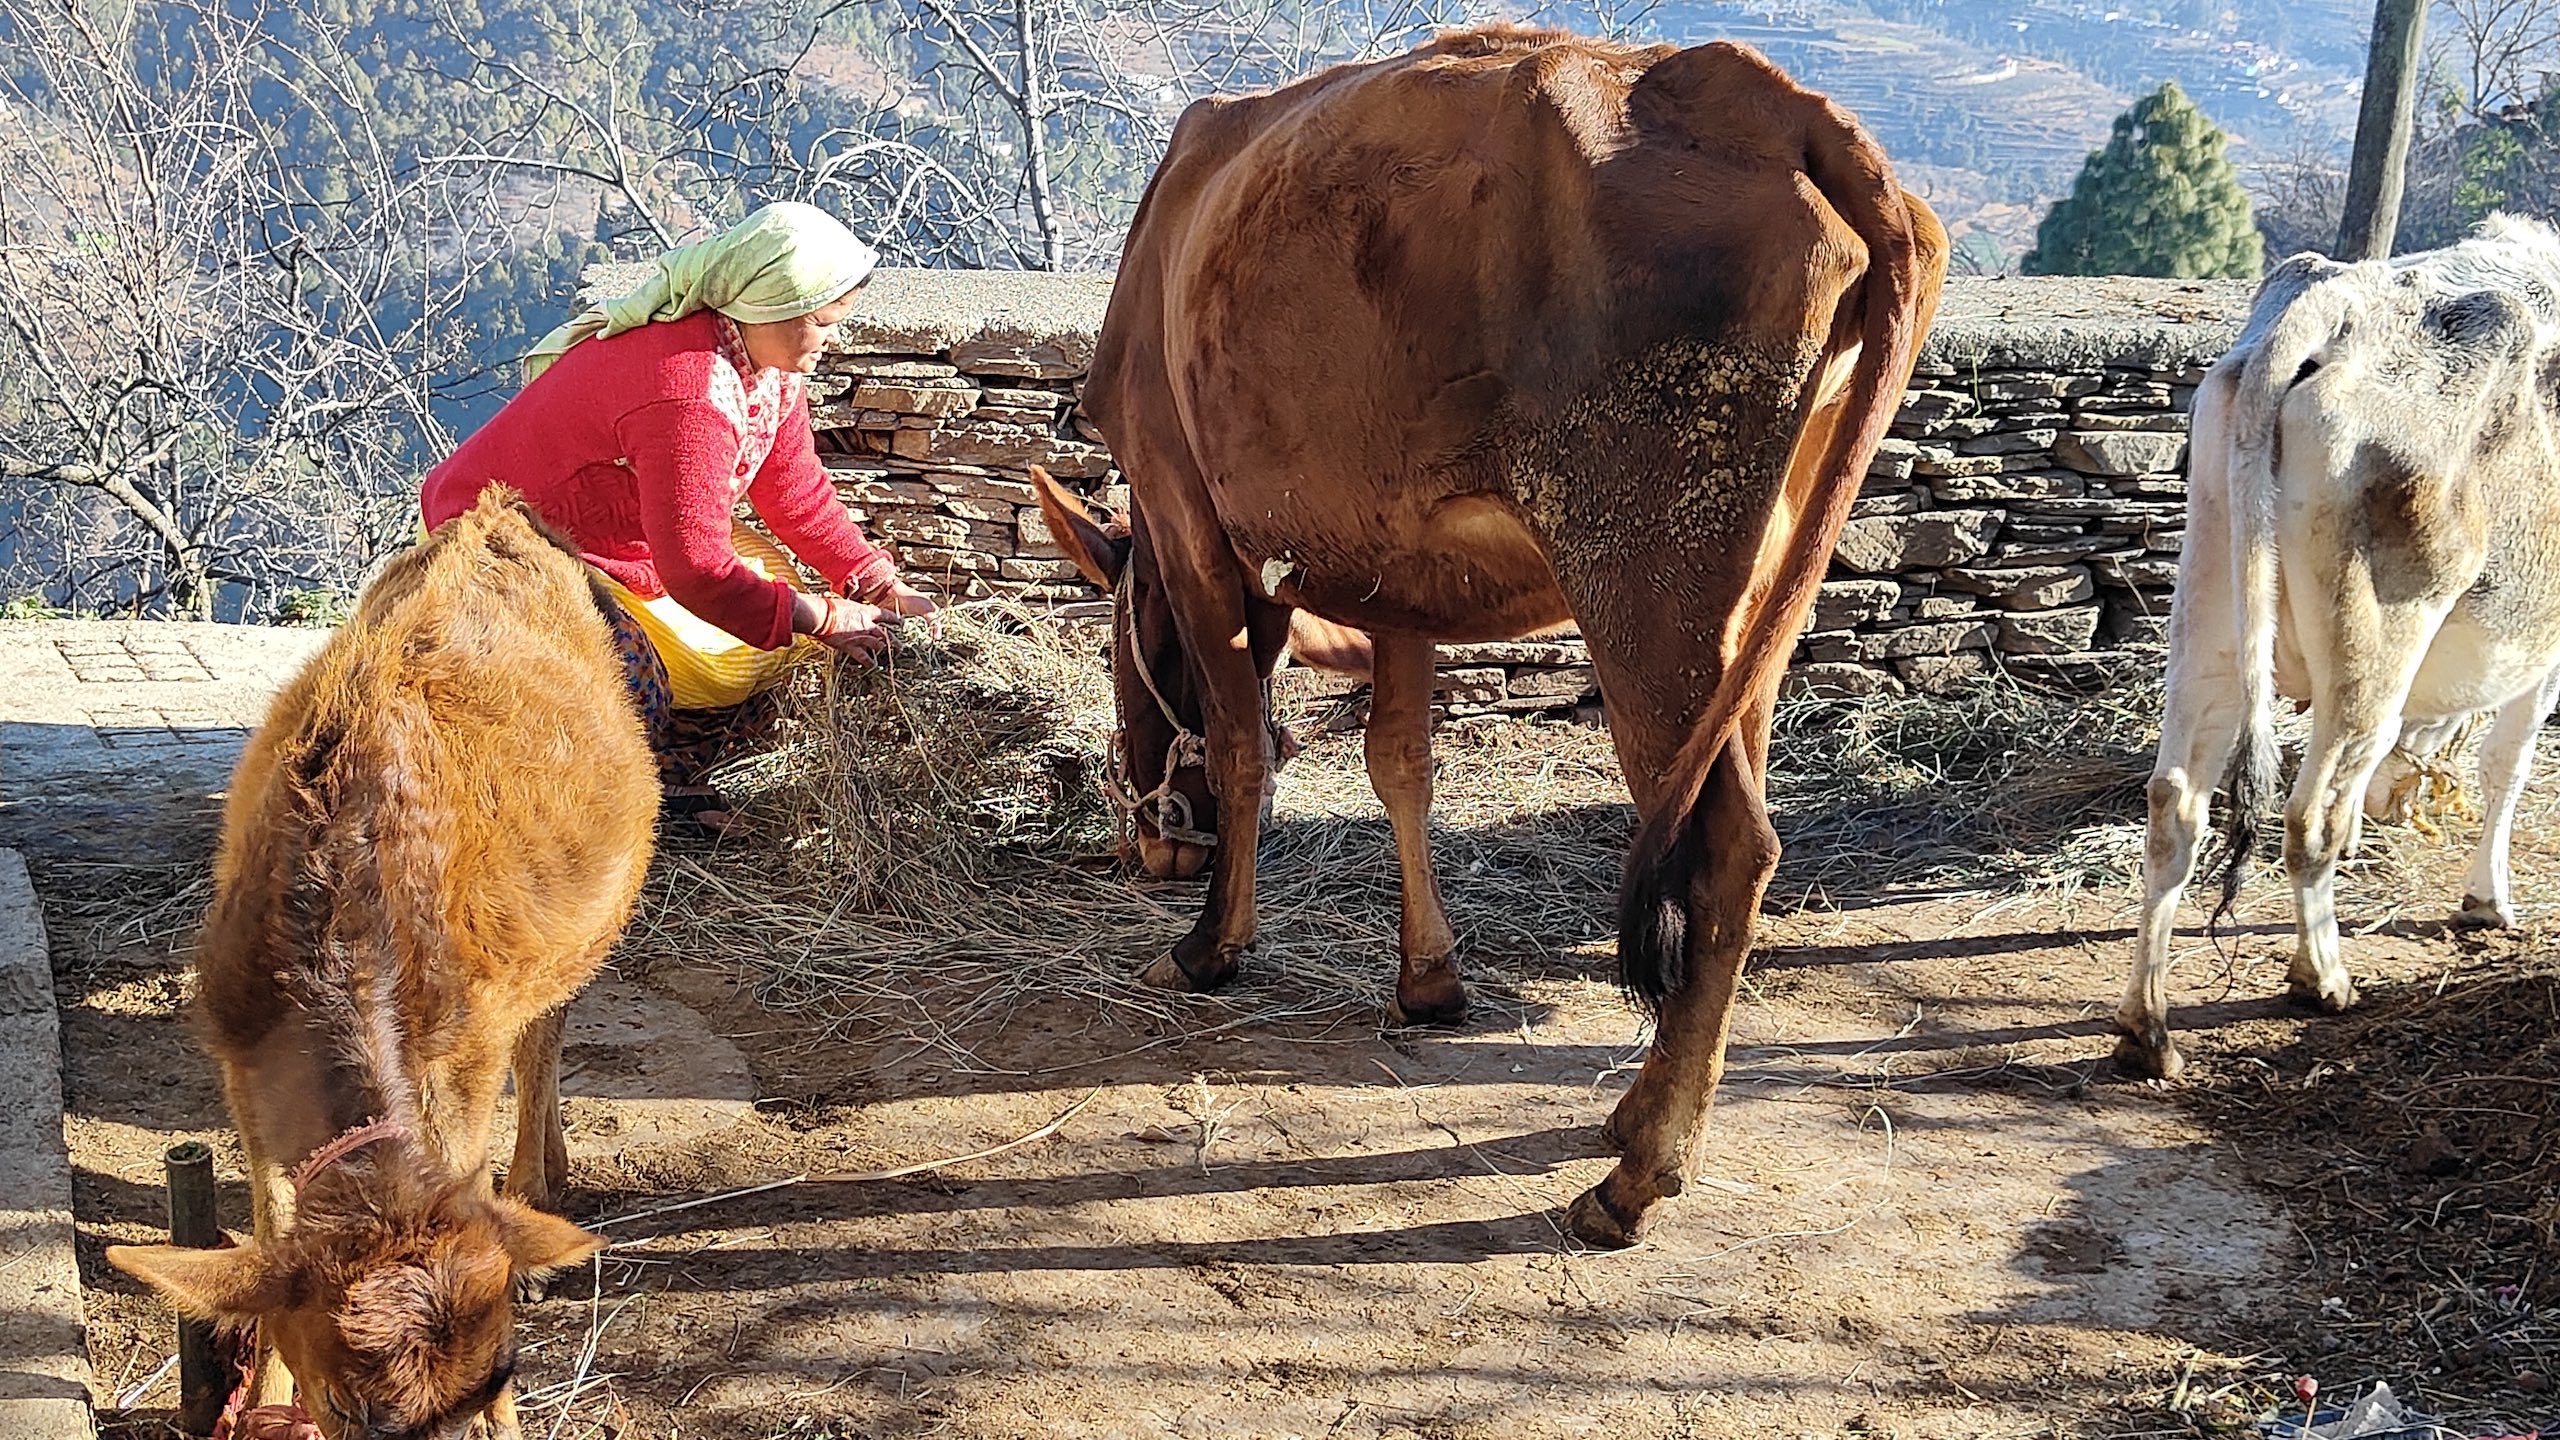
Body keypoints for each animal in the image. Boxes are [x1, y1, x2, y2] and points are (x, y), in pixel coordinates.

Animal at [106, 489, 660, 1438]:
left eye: (504, 1371)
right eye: (342, 1402)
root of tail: (499, 514)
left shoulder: (467, 1050)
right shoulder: (237, 1058)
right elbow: (270, 1228)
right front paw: (262, 1400)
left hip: (590, 921)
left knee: (545, 1032)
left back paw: (537, 1191)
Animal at [1031, 24, 1948, 1246]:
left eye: (1110, 657)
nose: (1155, 849)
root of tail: (1770, 98)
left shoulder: (1190, 517)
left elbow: (1239, 746)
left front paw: (1212, 946)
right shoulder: (1398, 571)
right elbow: (1400, 763)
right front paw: (1429, 978)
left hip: (1644, 578)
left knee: (1729, 849)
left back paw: (1639, 1174)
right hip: (1759, 591)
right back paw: (1640, 1115)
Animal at [2118, 214, 2560, 1082]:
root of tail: (2341, 298)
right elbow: (2509, 763)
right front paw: (2488, 899)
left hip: (2212, 606)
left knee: (2176, 803)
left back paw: (2147, 1028)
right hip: (2378, 630)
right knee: (2309, 812)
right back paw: (2321, 976)